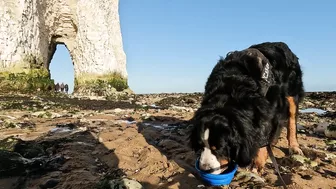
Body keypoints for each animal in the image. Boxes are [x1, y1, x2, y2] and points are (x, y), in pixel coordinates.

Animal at [189, 41, 304, 174]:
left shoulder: (271, 110)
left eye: (219, 148)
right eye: (200, 145)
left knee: (292, 119)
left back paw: (294, 146)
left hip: (292, 92)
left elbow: (265, 137)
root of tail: (281, 43)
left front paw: (257, 162)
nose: (205, 169)